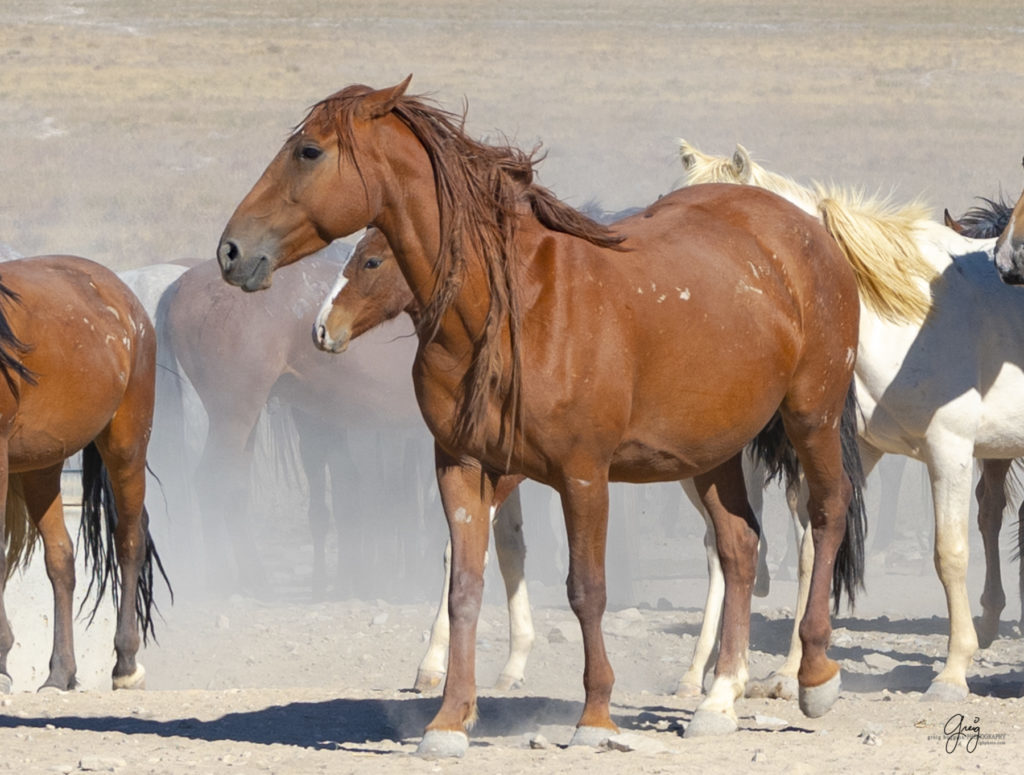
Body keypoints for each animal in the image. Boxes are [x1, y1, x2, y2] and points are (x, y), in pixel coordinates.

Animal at [0, 256, 166, 692]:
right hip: (41, 467)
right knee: (61, 558)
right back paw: (60, 672)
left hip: (126, 445)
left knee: (129, 540)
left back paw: (125, 664)